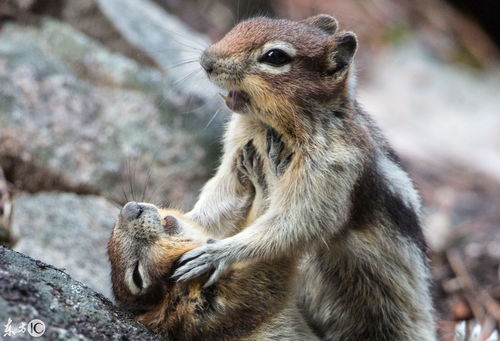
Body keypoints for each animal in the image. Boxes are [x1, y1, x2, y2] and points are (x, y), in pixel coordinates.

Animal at [173, 14, 438, 338]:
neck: (271, 125)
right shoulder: (236, 157)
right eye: (245, 24)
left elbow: (301, 220)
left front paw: (218, 254)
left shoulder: (331, 167)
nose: (206, 61)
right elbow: (220, 200)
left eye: (275, 57)